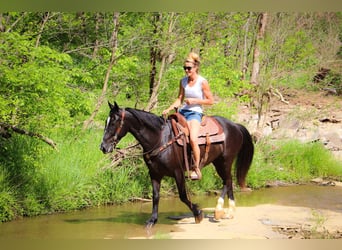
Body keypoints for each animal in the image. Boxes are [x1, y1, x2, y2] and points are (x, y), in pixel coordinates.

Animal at [99, 102, 254, 229]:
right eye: (106, 122)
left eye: (113, 122)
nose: (103, 147)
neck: (160, 138)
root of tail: (235, 125)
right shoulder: (154, 174)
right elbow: (156, 196)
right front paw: (152, 221)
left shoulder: (178, 172)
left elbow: (183, 196)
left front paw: (198, 213)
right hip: (218, 162)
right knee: (226, 182)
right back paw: (220, 211)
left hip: (225, 161)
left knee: (228, 180)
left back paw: (226, 211)